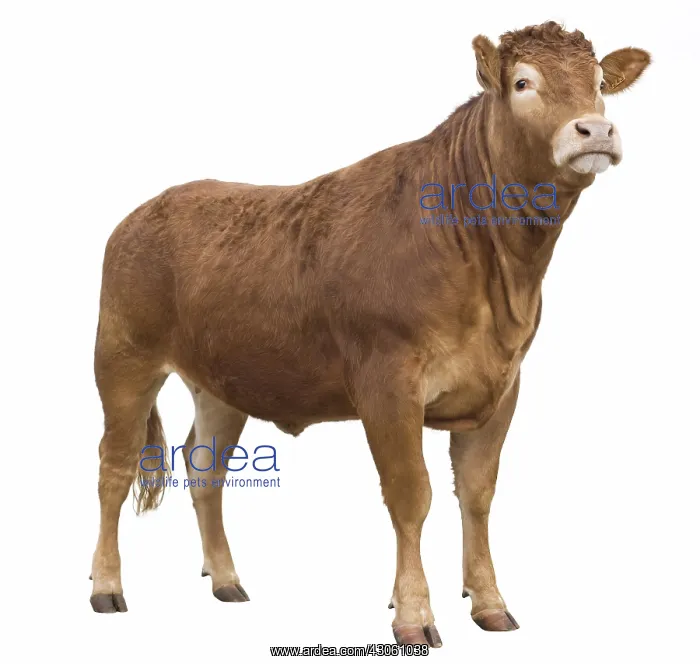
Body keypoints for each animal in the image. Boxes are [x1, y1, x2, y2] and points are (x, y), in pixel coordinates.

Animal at [90, 21, 650, 648]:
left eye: (599, 83)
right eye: (523, 83)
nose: (595, 129)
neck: (497, 271)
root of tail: (148, 209)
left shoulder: (503, 384)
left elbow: (477, 495)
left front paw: (490, 604)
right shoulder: (388, 383)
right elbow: (411, 495)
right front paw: (414, 614)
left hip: (221, 380)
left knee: (204, 468)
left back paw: (228, 580)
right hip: (123, 358)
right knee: (114, 467)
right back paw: (107, 587)